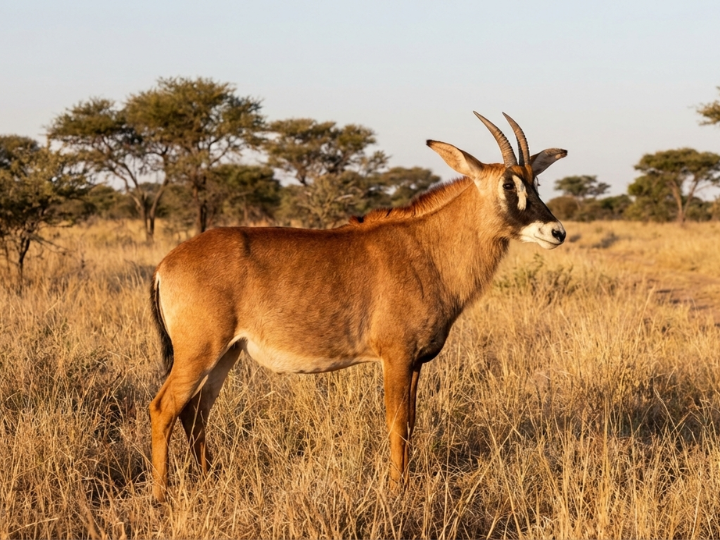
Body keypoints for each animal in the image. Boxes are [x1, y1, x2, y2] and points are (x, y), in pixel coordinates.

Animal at [148, 112, 567, 502]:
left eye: (536, 182)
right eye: (508, 184)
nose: (557, 232)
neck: (427, 246)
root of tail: (165, 264)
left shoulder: (416, 362)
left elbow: (411, 422)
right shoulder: (396, 356)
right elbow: (397, 422)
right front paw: (397, 490)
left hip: (226, 354)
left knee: (196, 411)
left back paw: (208, 480)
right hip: (199, 351)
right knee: (164, 408)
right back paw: (161, 494)